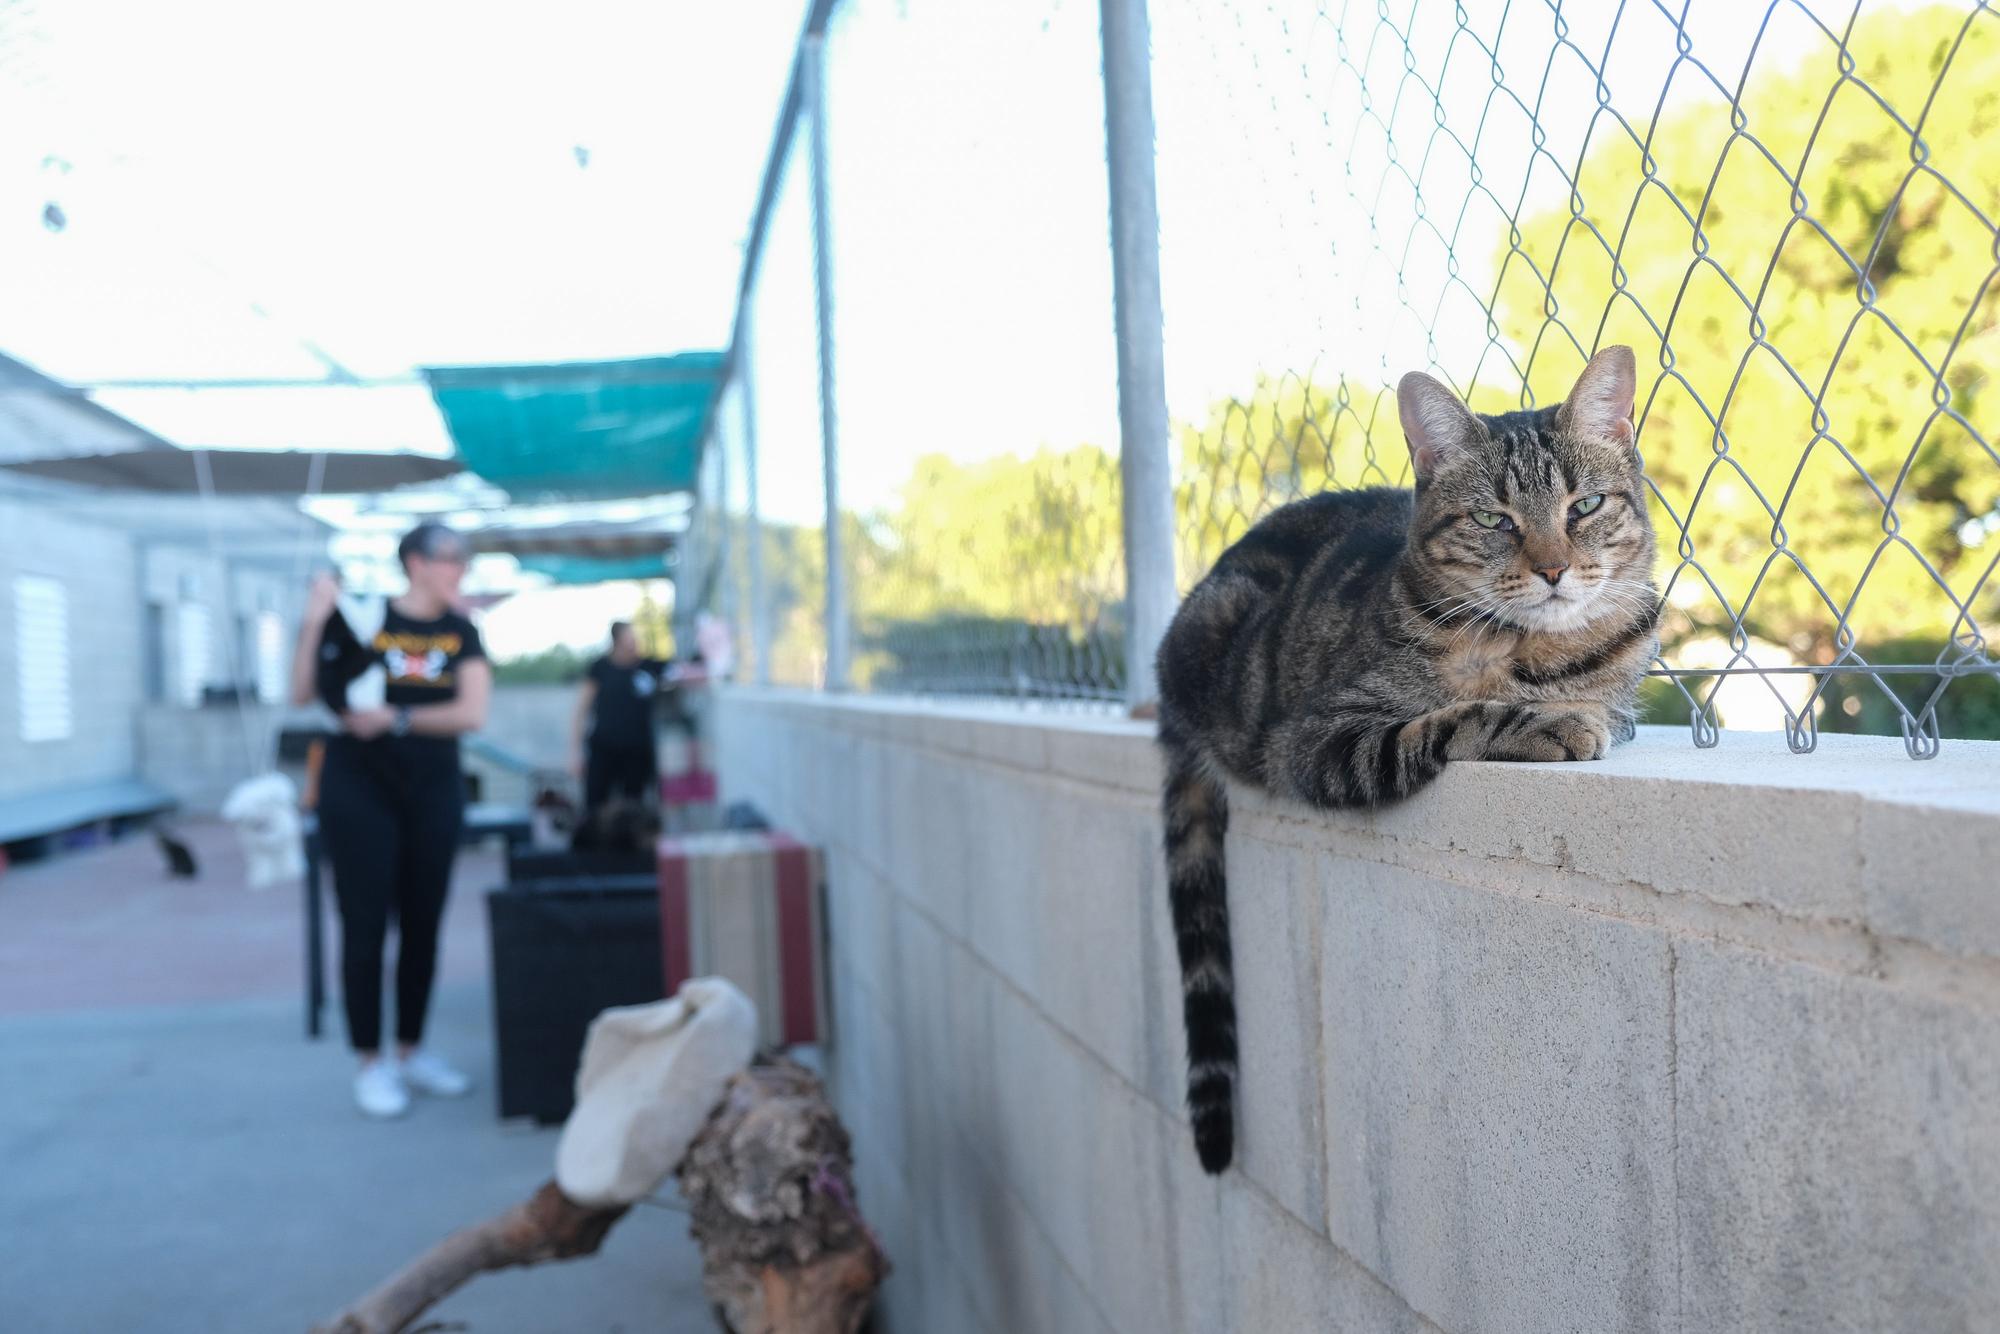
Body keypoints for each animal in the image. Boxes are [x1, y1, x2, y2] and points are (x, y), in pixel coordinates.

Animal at [1160, 350, 1656, 1176]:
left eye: (1585, 506)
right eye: (1493, 519)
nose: (1554, 570)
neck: (1541, 653)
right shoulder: (1316, 739)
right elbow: (1454, 717)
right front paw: (1551, 722)